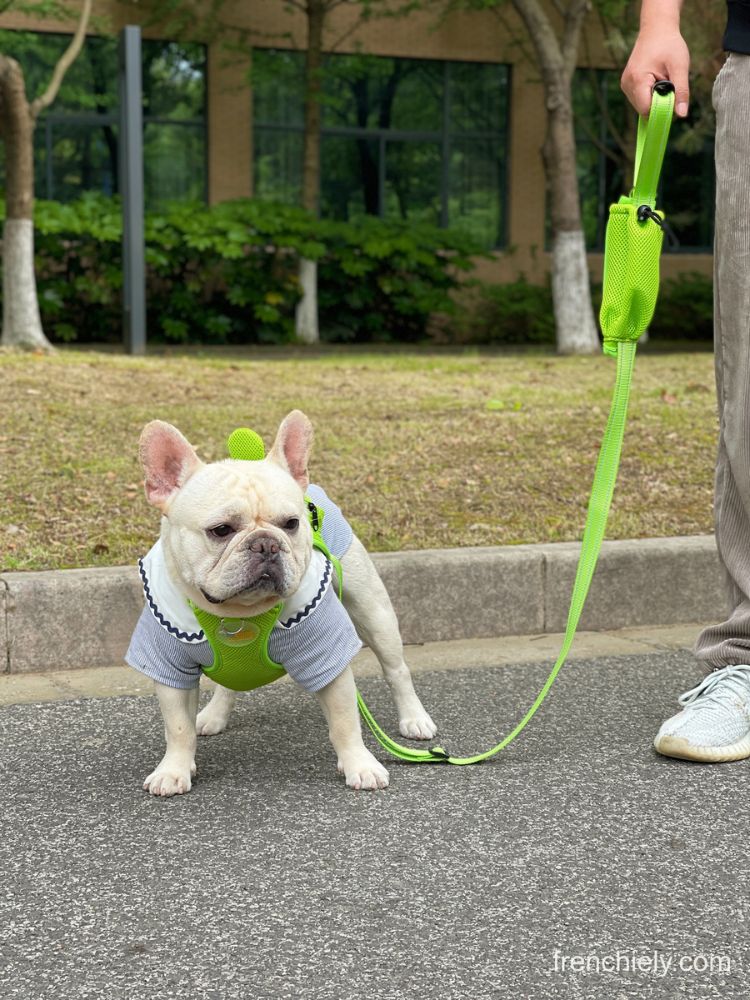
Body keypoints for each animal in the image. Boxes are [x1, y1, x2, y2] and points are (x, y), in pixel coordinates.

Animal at [127, 412, 438, 796]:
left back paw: (414, 718)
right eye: (220, 530)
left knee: (396, 669)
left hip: (373, 610)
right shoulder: (169, 665)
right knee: (228, 683)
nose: (266, 544)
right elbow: (177, 727)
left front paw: (360, 765)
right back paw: (214, 715)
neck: (237, 613)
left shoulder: (328, 657)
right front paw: (173, 770)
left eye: (291, 524)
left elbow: (345, 721)